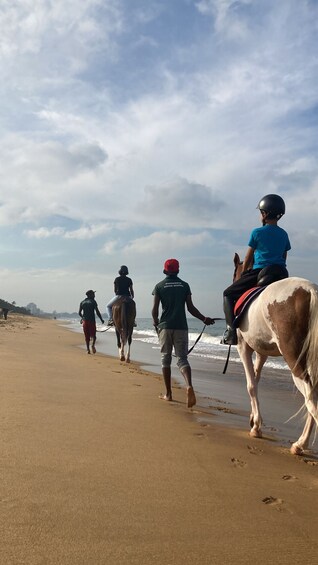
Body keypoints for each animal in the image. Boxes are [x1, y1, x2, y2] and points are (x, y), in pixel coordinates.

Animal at [231, 253, 318, 456]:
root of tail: (310, 291)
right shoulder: (262, 353)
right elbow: (256, 380)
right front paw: (253, 419)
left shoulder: (243, 347)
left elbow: (251, 385)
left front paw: (256, 427)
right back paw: (299, 445)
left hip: (294, 361)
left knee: (311, 401)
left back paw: (301, 444)